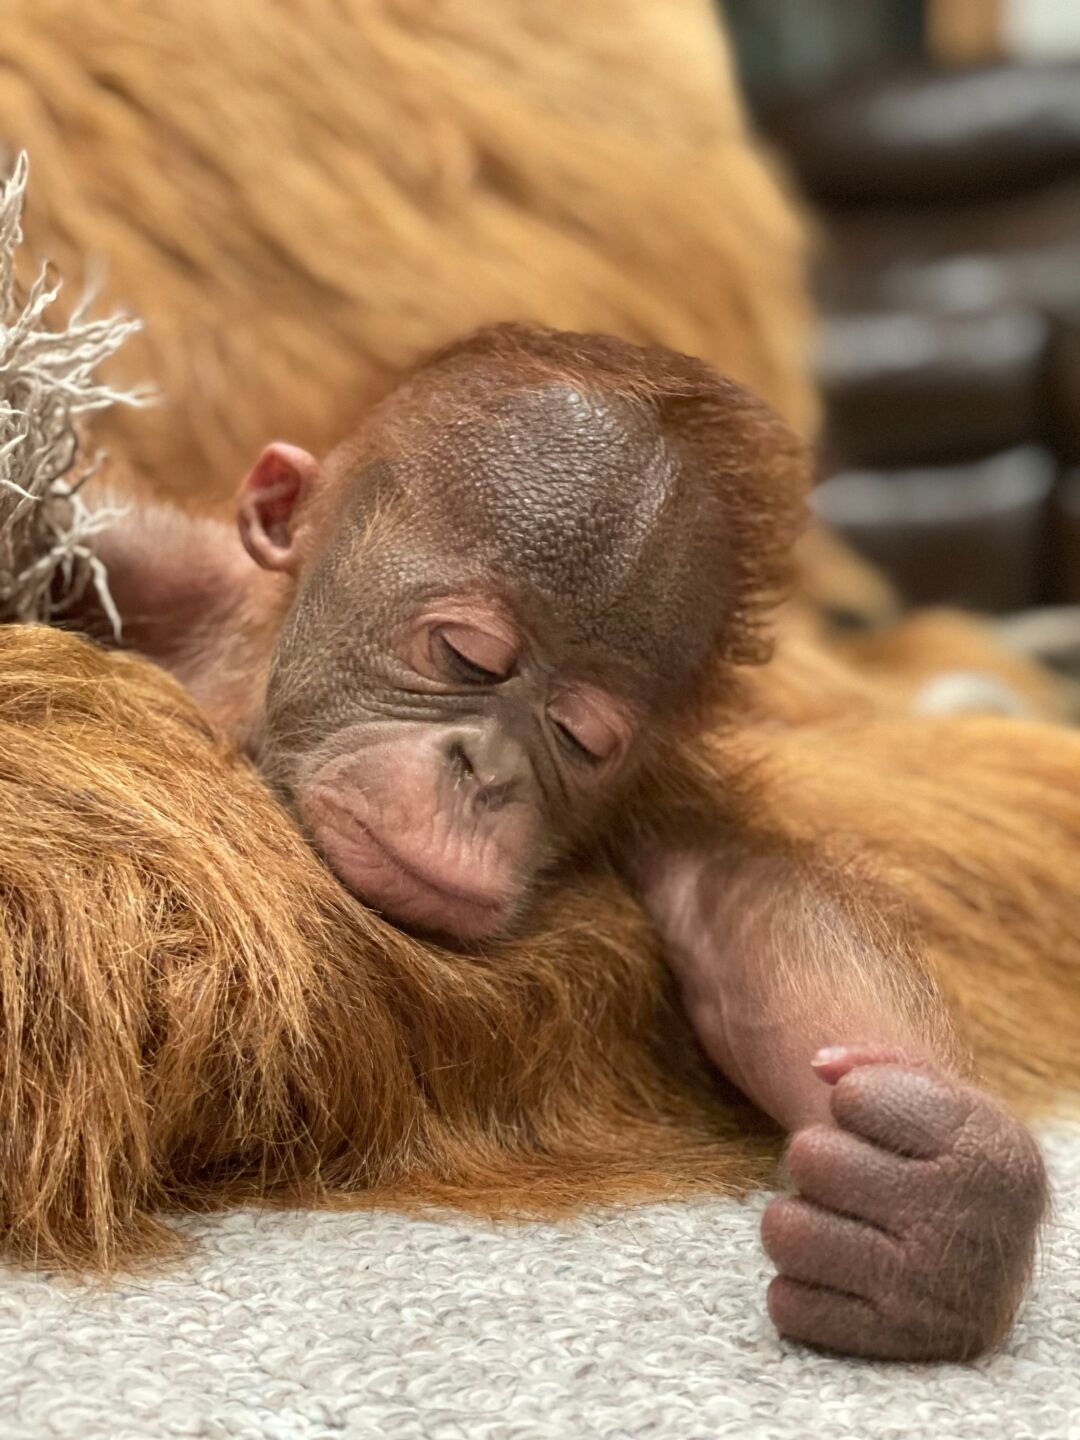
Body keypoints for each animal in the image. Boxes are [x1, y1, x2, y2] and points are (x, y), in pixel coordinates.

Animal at [68, 324, 1076, 1361]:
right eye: (464, 654)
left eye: (580, 737)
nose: (488, 774)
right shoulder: (164, 568)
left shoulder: (652, 807)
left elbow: (754, 919)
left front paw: (940, 1206)